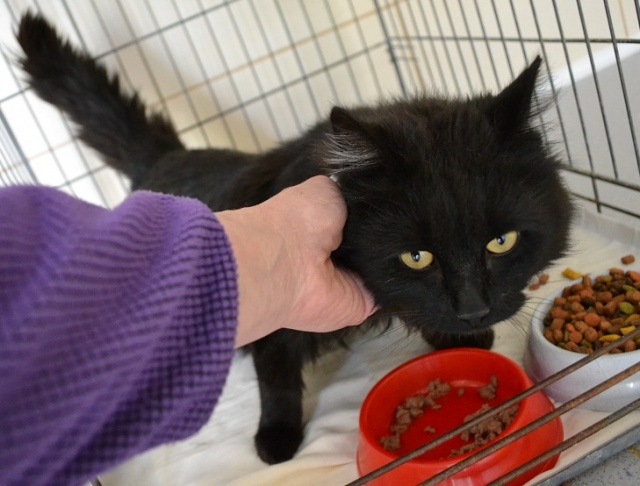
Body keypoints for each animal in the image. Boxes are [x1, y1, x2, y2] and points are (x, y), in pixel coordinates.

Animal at [16, 12, 572, 465]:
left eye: (501, 242)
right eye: (417, 257)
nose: (475, 310)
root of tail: (166, 156)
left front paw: (455, 337)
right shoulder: (273, 306)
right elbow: (276, 374)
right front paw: (276, 438)